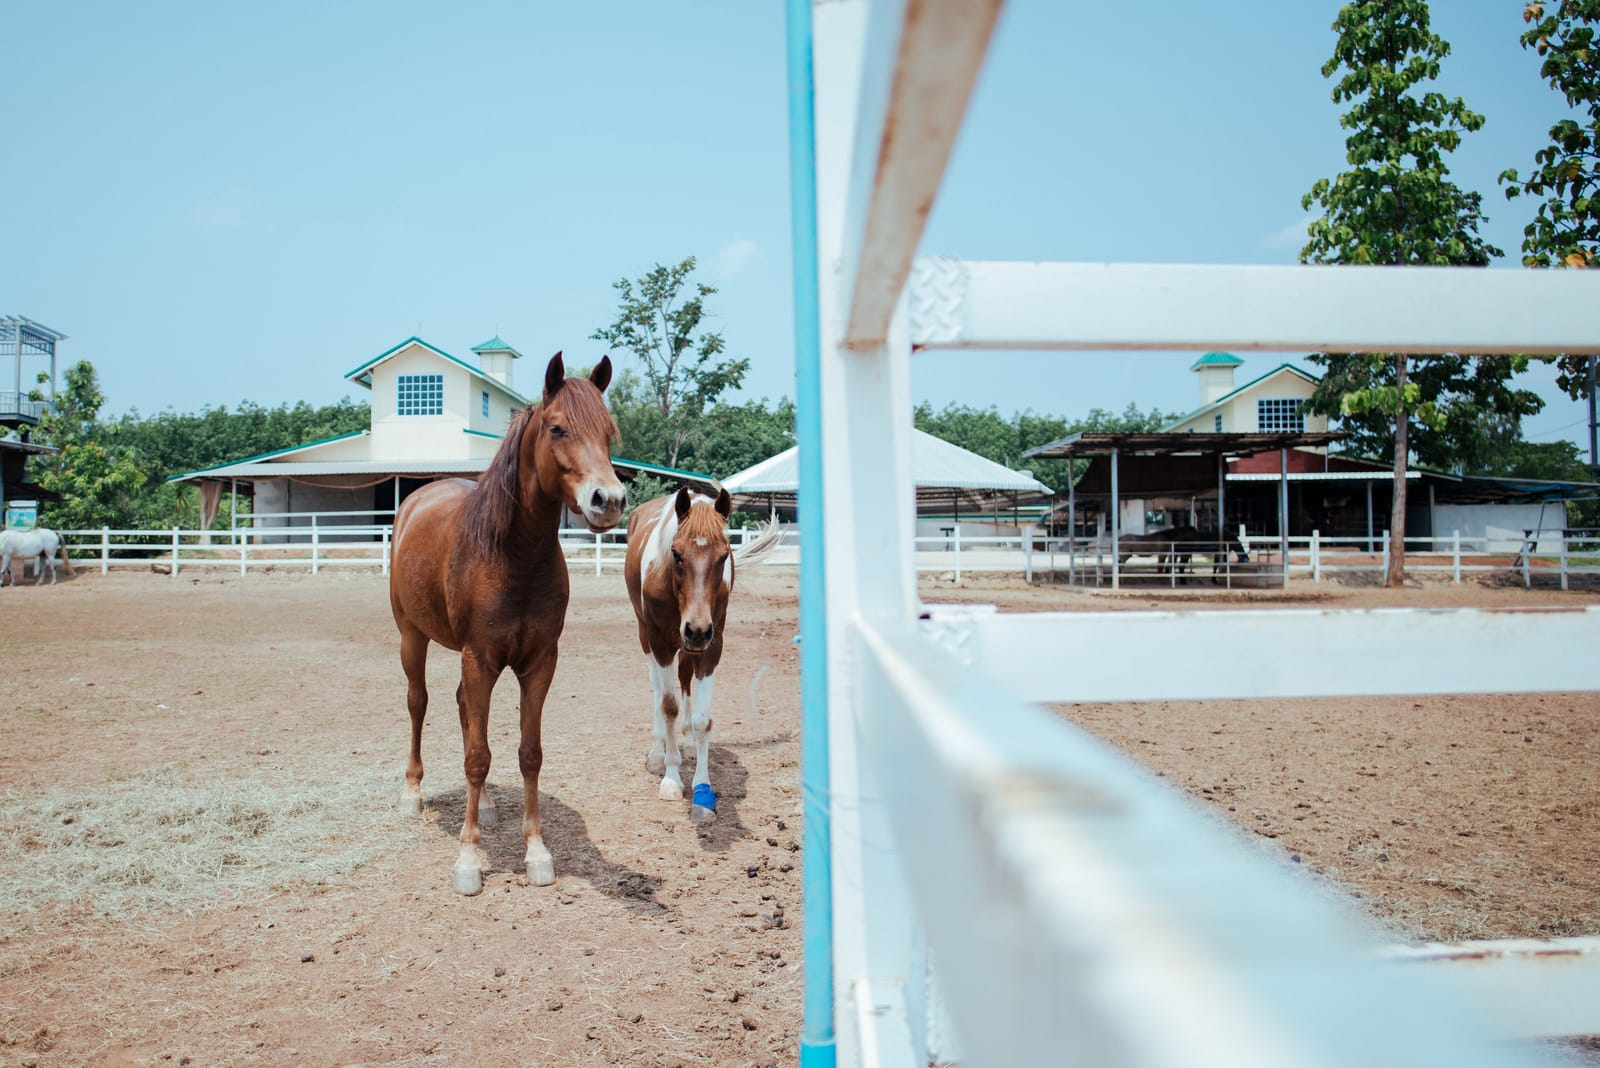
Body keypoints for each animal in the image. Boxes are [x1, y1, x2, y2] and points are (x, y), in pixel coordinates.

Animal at [389, 352, 627, 895]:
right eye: (558, 428)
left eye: (609, 433)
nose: (609, 500)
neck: (514, 556)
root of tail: (417, 497)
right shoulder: (480, 658)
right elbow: (477, 757)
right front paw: (468, 859)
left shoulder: (539, 662)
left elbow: (527, 753)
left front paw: (536, 851)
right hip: (412, 636)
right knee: (418, 703)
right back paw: (412, 793)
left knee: (462, 710)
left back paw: (489, 804)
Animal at [623, 487, 780, 821]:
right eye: (676, 554)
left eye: (723, 556)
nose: (696, 629)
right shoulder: (661, 642)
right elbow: (668, 705)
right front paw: (671, 778)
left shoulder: (712, 643)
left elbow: (702, 719)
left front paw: (702, 785)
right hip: (649, 636)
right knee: (657, 687)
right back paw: (657, 752)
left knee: (684, 681)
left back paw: (688, 743)